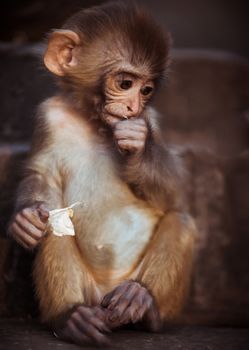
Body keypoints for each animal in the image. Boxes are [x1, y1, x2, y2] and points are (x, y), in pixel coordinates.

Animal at [8, 2, 196, 348]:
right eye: (125, 84)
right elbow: (41, 176)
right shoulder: (47, 116)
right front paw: (23, 218)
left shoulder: (151, 119)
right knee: (55, 225)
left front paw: (138, 145)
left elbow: (175, 194)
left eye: (147, 90)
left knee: (181, 220)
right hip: (91, 294)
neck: (94, 122)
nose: (133, 107)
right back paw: (73, 319)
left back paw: (144, 303)